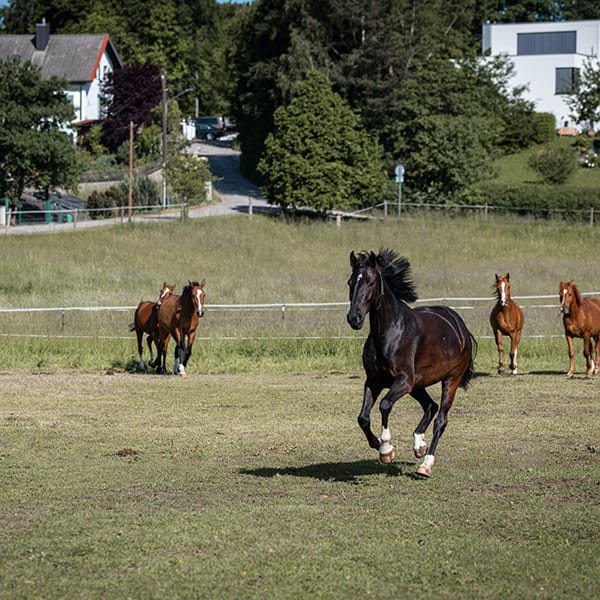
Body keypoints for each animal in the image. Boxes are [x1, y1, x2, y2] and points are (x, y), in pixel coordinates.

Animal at [344, 248, 476, 478]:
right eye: (351, 282)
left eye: (371, 282)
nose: (354, 318)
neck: (389, 332)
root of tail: (458, 324)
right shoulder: (374, 381)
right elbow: (363, 418)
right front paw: (378, 445)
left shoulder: (403, 381)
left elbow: (385, 405)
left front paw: (386, 448)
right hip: (418, 385)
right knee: (430, 406)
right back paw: (419, 445)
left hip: (450, 379)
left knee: (440, 420)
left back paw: (426, 464)